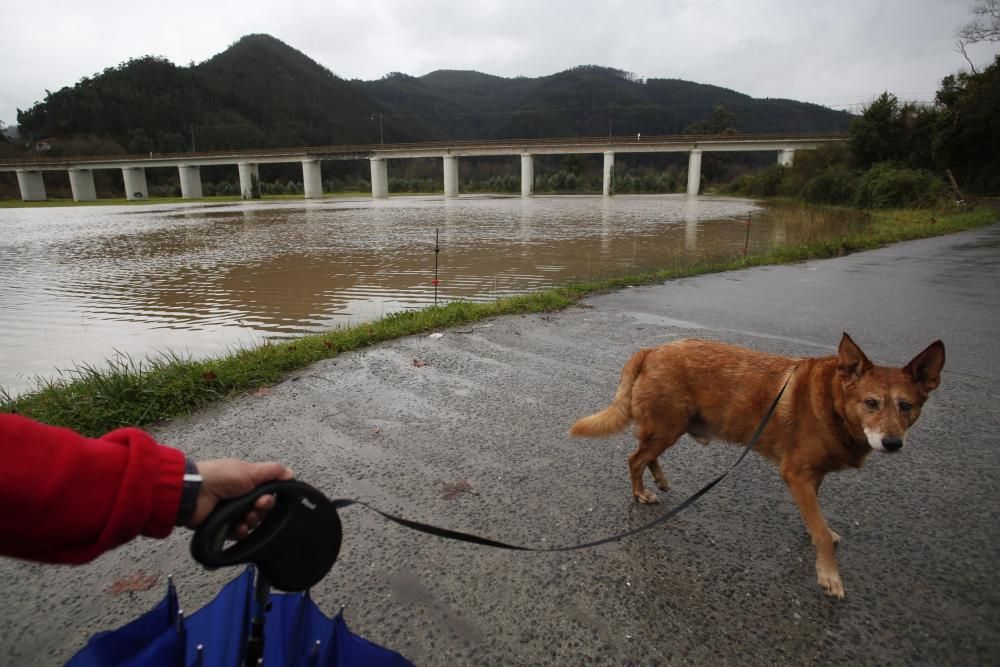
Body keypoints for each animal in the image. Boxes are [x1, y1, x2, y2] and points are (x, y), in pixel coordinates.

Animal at [572, 334, 944, 600]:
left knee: (648, 456)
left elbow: (816, 521)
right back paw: (640, 493)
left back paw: (660, 480)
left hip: (669, 428)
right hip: (667, 428)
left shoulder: (811, 478)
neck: (834, 402)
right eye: (871, 403)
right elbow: (821, 534)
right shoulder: (796, 475)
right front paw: (829, 575)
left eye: (906, 406)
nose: (892, 443)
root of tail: (651, 350)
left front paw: (816, 534)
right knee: (635, 459)